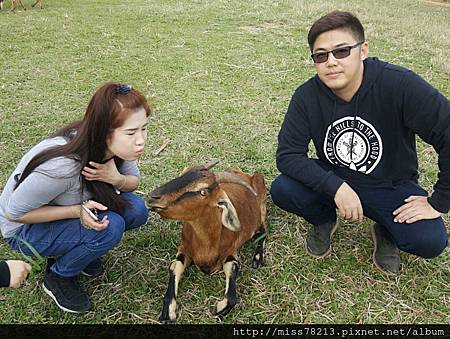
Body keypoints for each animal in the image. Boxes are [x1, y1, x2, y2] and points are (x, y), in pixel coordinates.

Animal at [148, 161, 268, 322]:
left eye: (203, 191)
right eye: (182, 173)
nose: (153, 197)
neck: (206, 246)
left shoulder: (230, 251)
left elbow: (233, 272)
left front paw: (219, 309)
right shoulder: (184, 248)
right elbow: (174, 266)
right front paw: (168, 311)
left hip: (262, 205)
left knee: (263, 231)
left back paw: (257, 258)